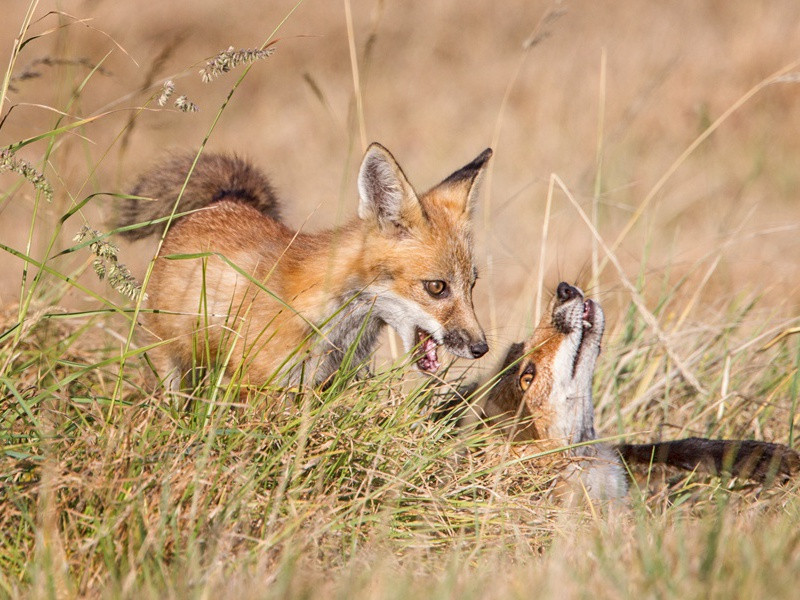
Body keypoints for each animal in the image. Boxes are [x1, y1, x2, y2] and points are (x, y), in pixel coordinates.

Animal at [117, 145, 494, 390]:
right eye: (437, 287)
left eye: (472, 285)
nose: (481, 349)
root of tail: (227, 199)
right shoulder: (258, 386)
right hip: (171, 365)